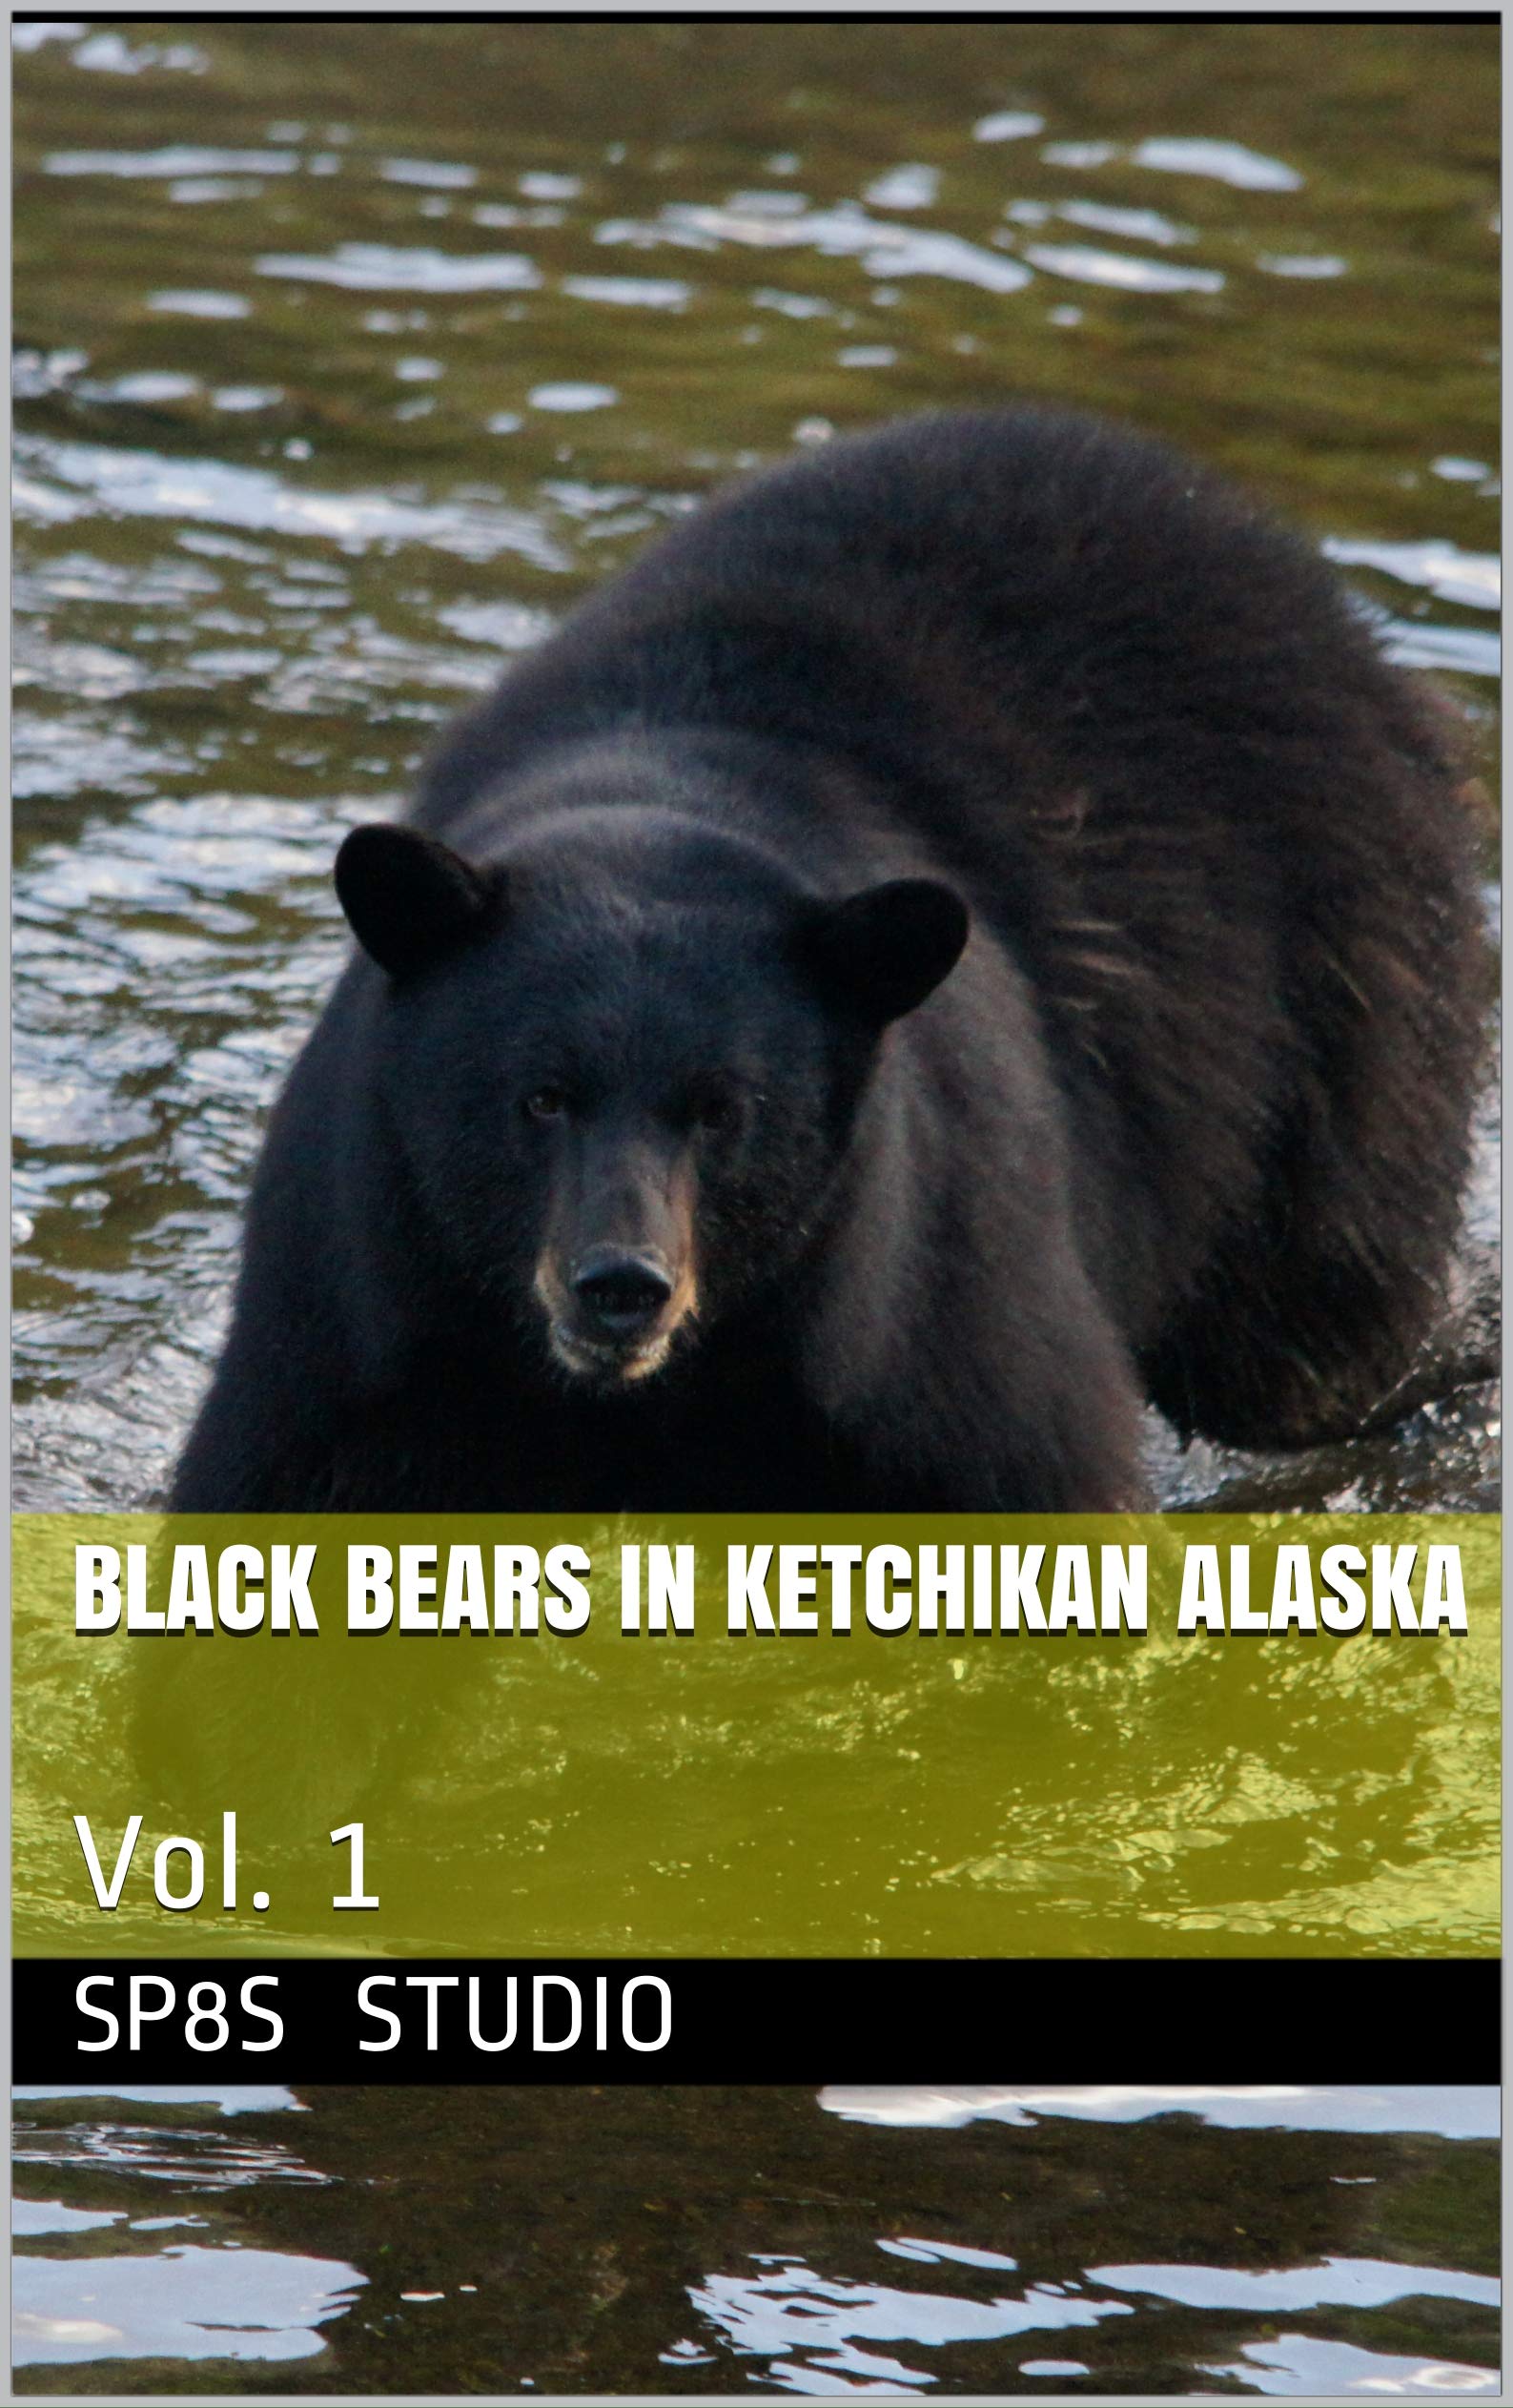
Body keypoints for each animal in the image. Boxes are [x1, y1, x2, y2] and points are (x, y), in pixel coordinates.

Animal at [169, 405, 1489, 1514]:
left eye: (722, 1110)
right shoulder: (375, 1307)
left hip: (1332, 1011)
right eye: (537, 1098)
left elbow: (1029, 1464)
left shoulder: (917, 1297)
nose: (621, 1284)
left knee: (1317, 1324)